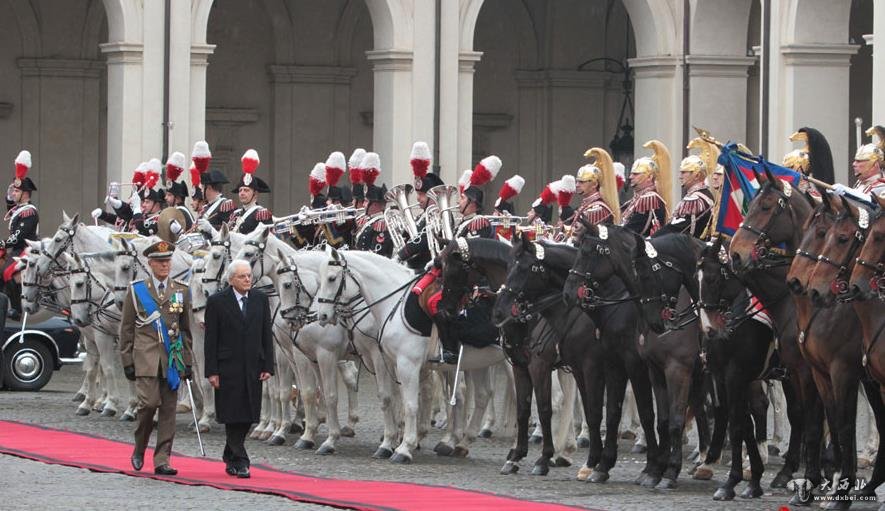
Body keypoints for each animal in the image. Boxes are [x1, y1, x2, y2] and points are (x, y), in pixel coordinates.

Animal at [314, 248, 504, 464]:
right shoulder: (395, 363)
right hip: (481, 362)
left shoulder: (407, 364)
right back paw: (462, 444)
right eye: (319, 279)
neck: (393, 304)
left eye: (331, 278)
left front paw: (404, 448)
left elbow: (410, 404)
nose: (322, 316)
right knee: (482, 395)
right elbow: (396, 399)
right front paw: (391, 443)